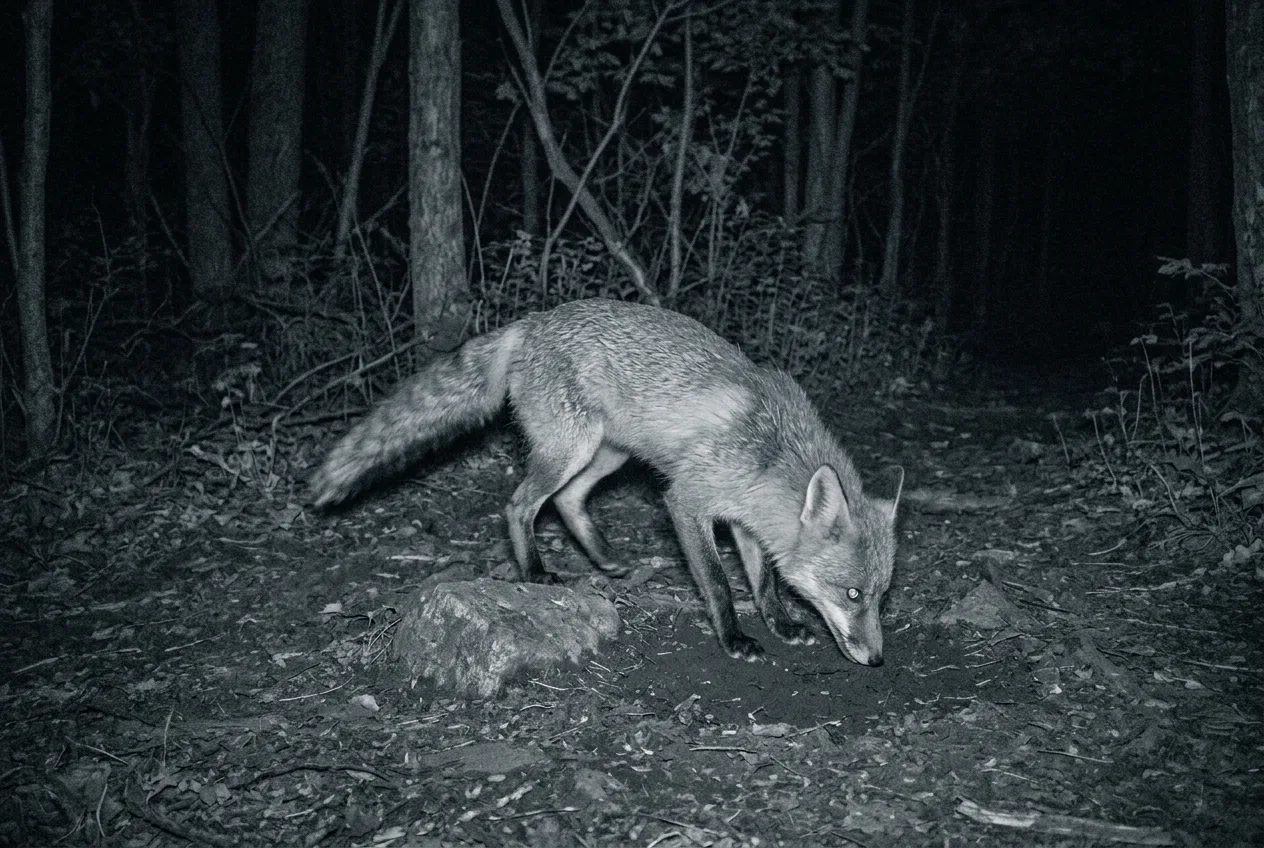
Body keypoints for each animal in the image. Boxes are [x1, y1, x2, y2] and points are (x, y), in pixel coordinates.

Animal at [311, 299, 901, 665]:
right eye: (852, 593)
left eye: (880, 596)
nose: (876, 660)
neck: (772, 449)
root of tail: (532, 320)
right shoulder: (687, 502)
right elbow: (717, 582)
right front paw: (734, 637)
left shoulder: (745, 517)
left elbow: (763, 582)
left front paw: (780, 624)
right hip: (568, 449)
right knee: (519, 504)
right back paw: (535, 571)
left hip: (607, 454)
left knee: (569, 500)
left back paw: (605, 560)